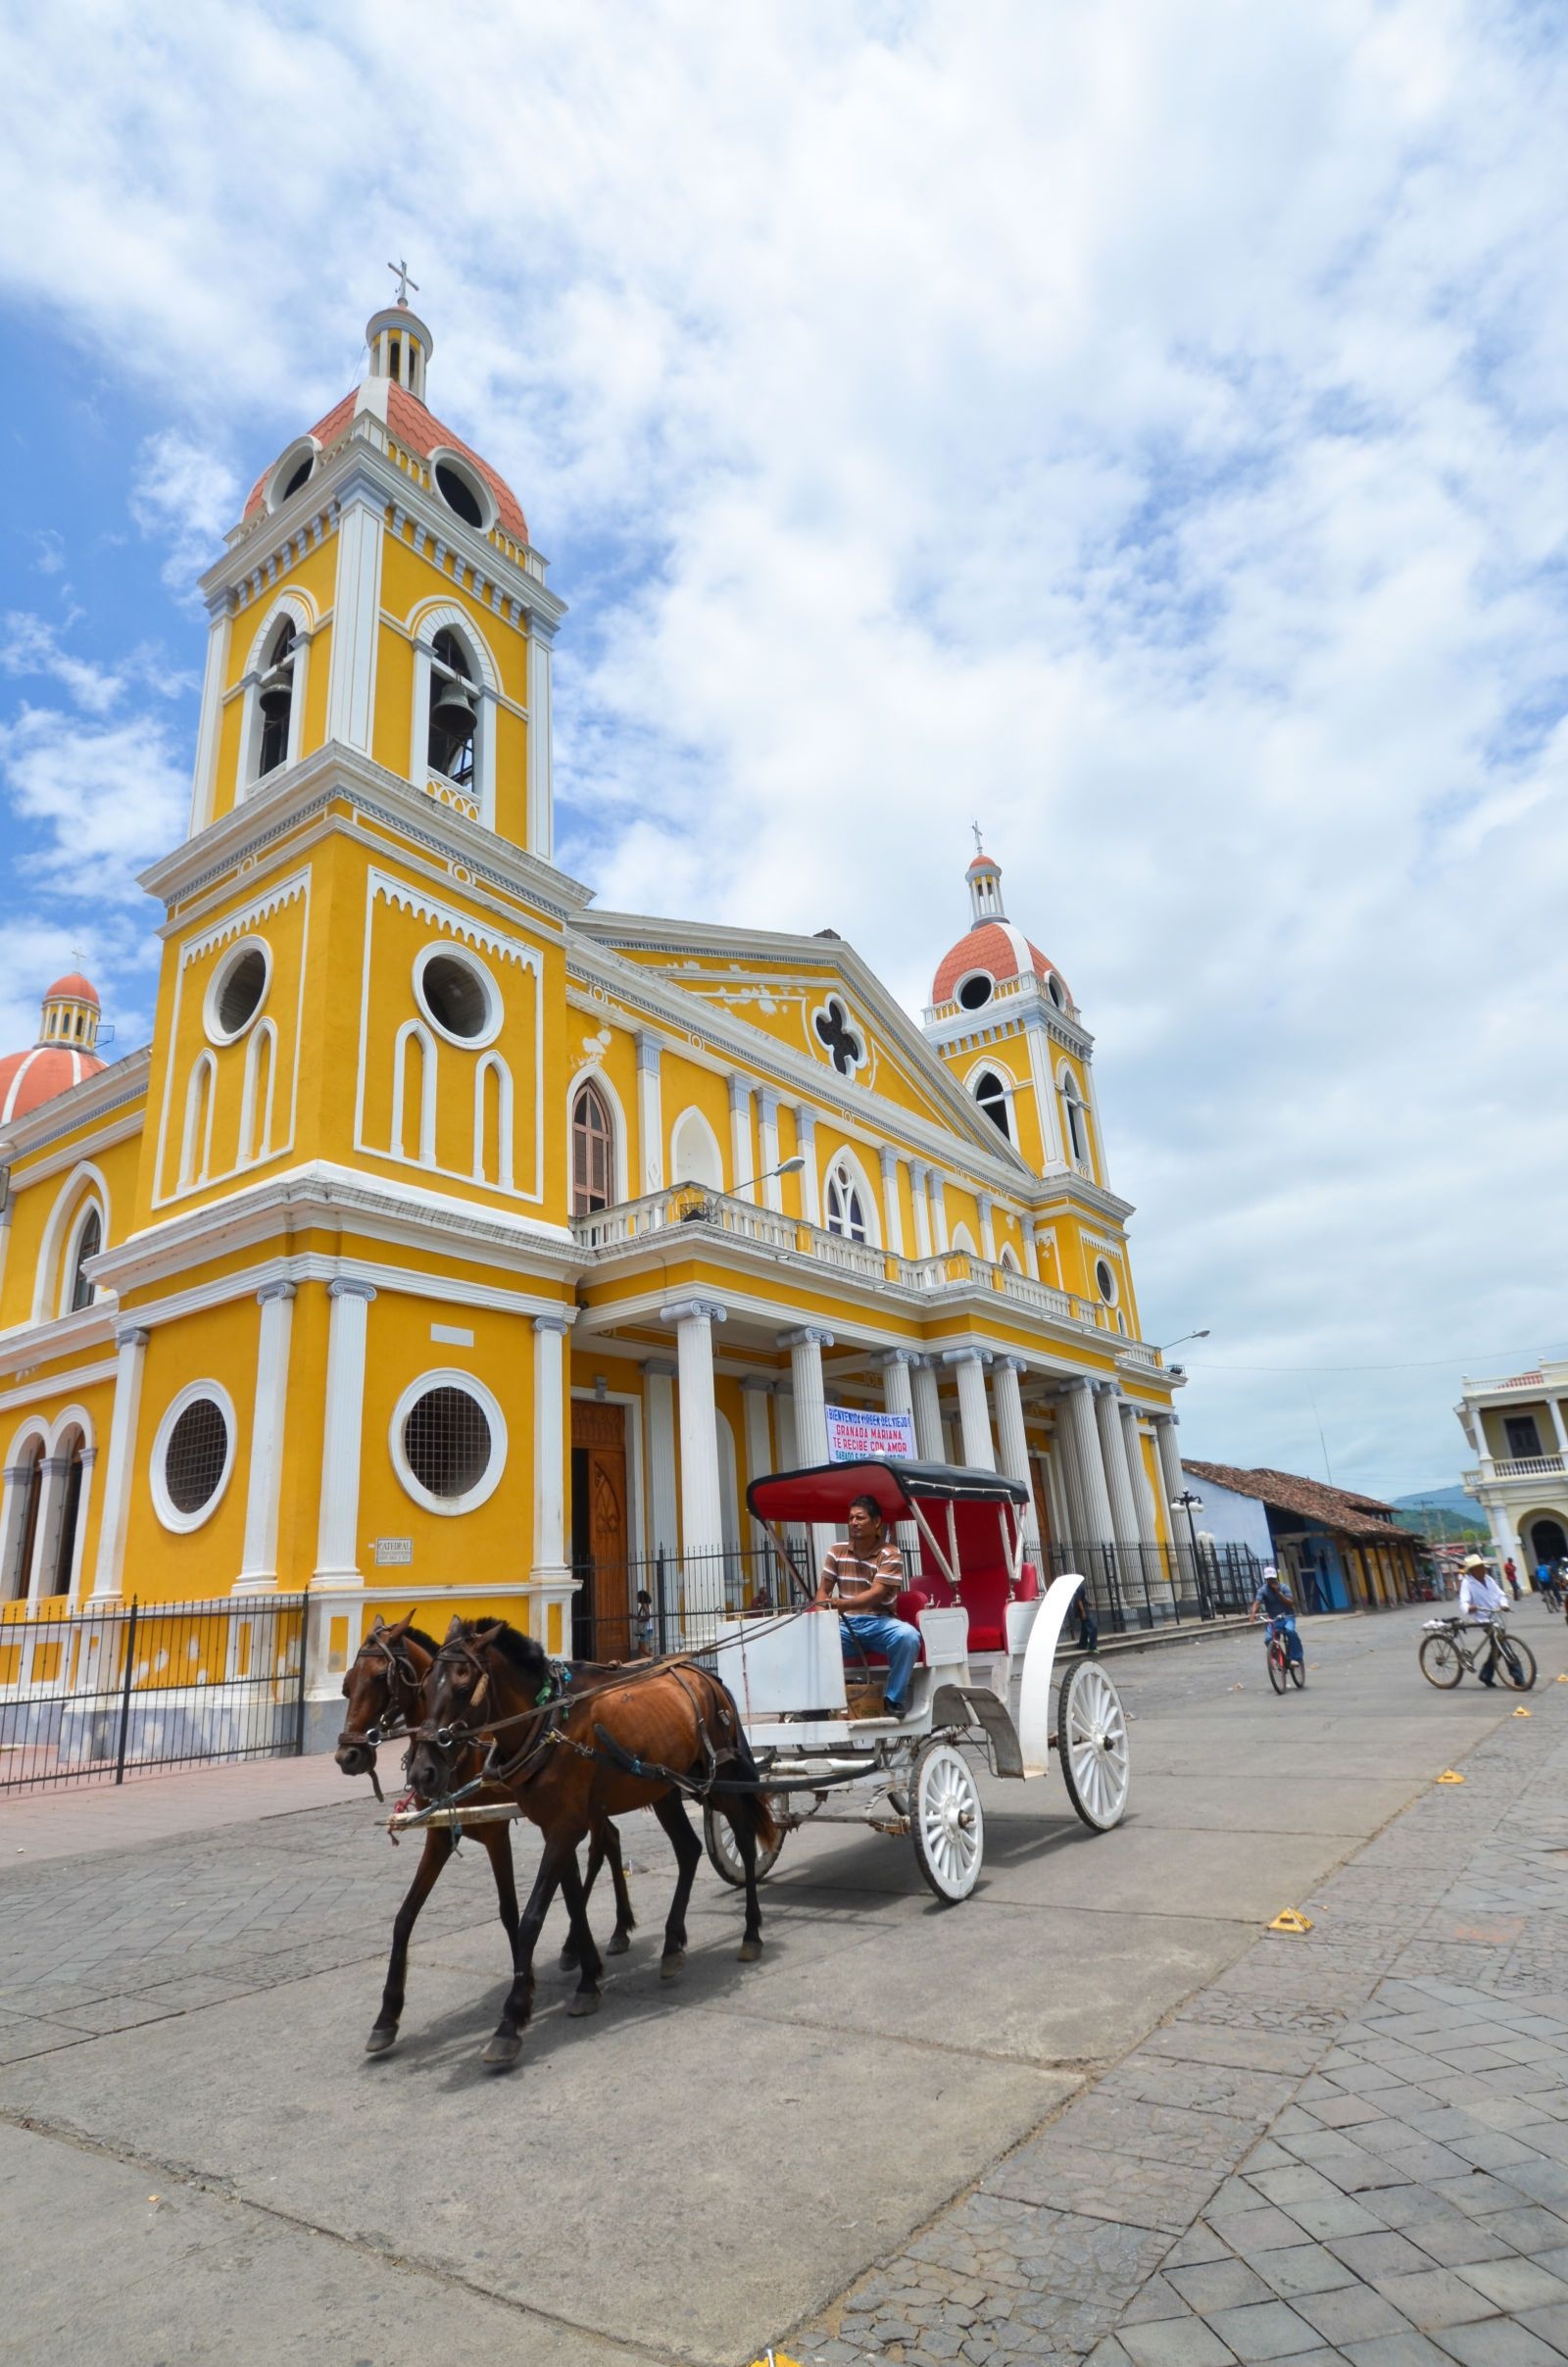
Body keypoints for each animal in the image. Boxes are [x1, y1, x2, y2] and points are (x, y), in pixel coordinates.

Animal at [338, 1609, 638, 2054]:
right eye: (346, 1684)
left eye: (378, 1678)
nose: (347, 1755)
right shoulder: (440, 1833)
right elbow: (405, 1916)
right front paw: (387, 2015)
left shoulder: (496, 1831)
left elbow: (510, 1910)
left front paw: (523, 1988)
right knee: (609, 1843)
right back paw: (598, 1939)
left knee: (602, 1846)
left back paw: (609, 1935)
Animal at [404, 1618, 770, 2063]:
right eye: (423, 1689)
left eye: (461, 1686)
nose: (422, 1773)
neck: (547, 1721)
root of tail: (705, 1675)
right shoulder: (555, 1826)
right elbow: (574, 1900)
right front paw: (587, 1978)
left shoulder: (565, 1827)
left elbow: (532, 1917)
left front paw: (511, 2020)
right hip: (664, 1787)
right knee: (688, 1848)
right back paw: (671, 1946)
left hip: (719, 1776)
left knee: (745, 1838)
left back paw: (751, 1932)